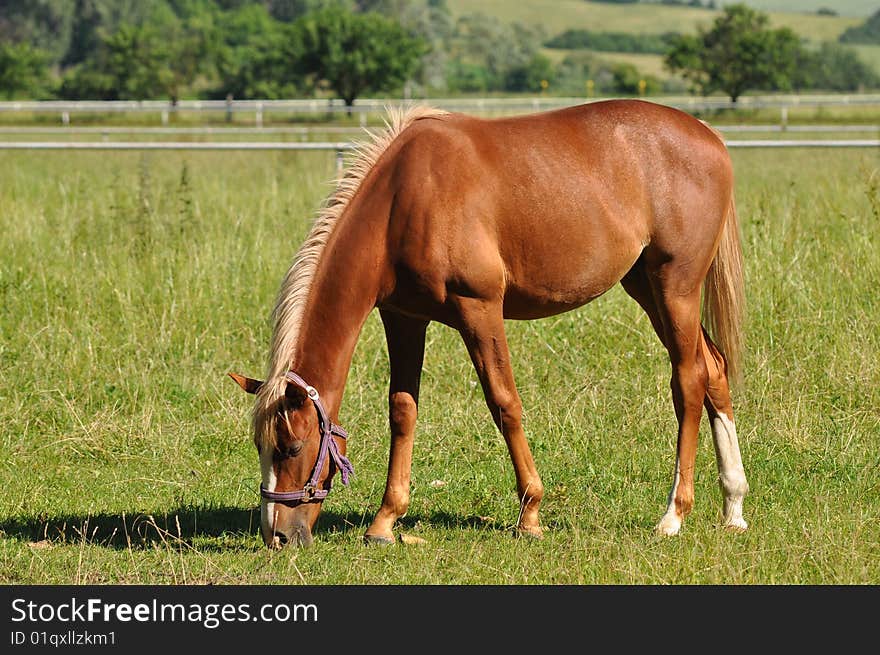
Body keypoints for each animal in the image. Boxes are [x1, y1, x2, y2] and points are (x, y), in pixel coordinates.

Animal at [229, 98, 748, 548]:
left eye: (291, 447)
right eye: (259, 446)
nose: (276, 536)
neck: (404, 200)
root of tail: (708, 137)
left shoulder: (478, 308)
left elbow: (504, 403)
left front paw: (531, 514)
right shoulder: (404, 318)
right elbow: (402, 411)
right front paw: (385, 521)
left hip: (675, 287)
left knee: (689, 380)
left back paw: (674, 514)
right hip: (645, 286)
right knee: (715, 369)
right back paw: (734, 506)